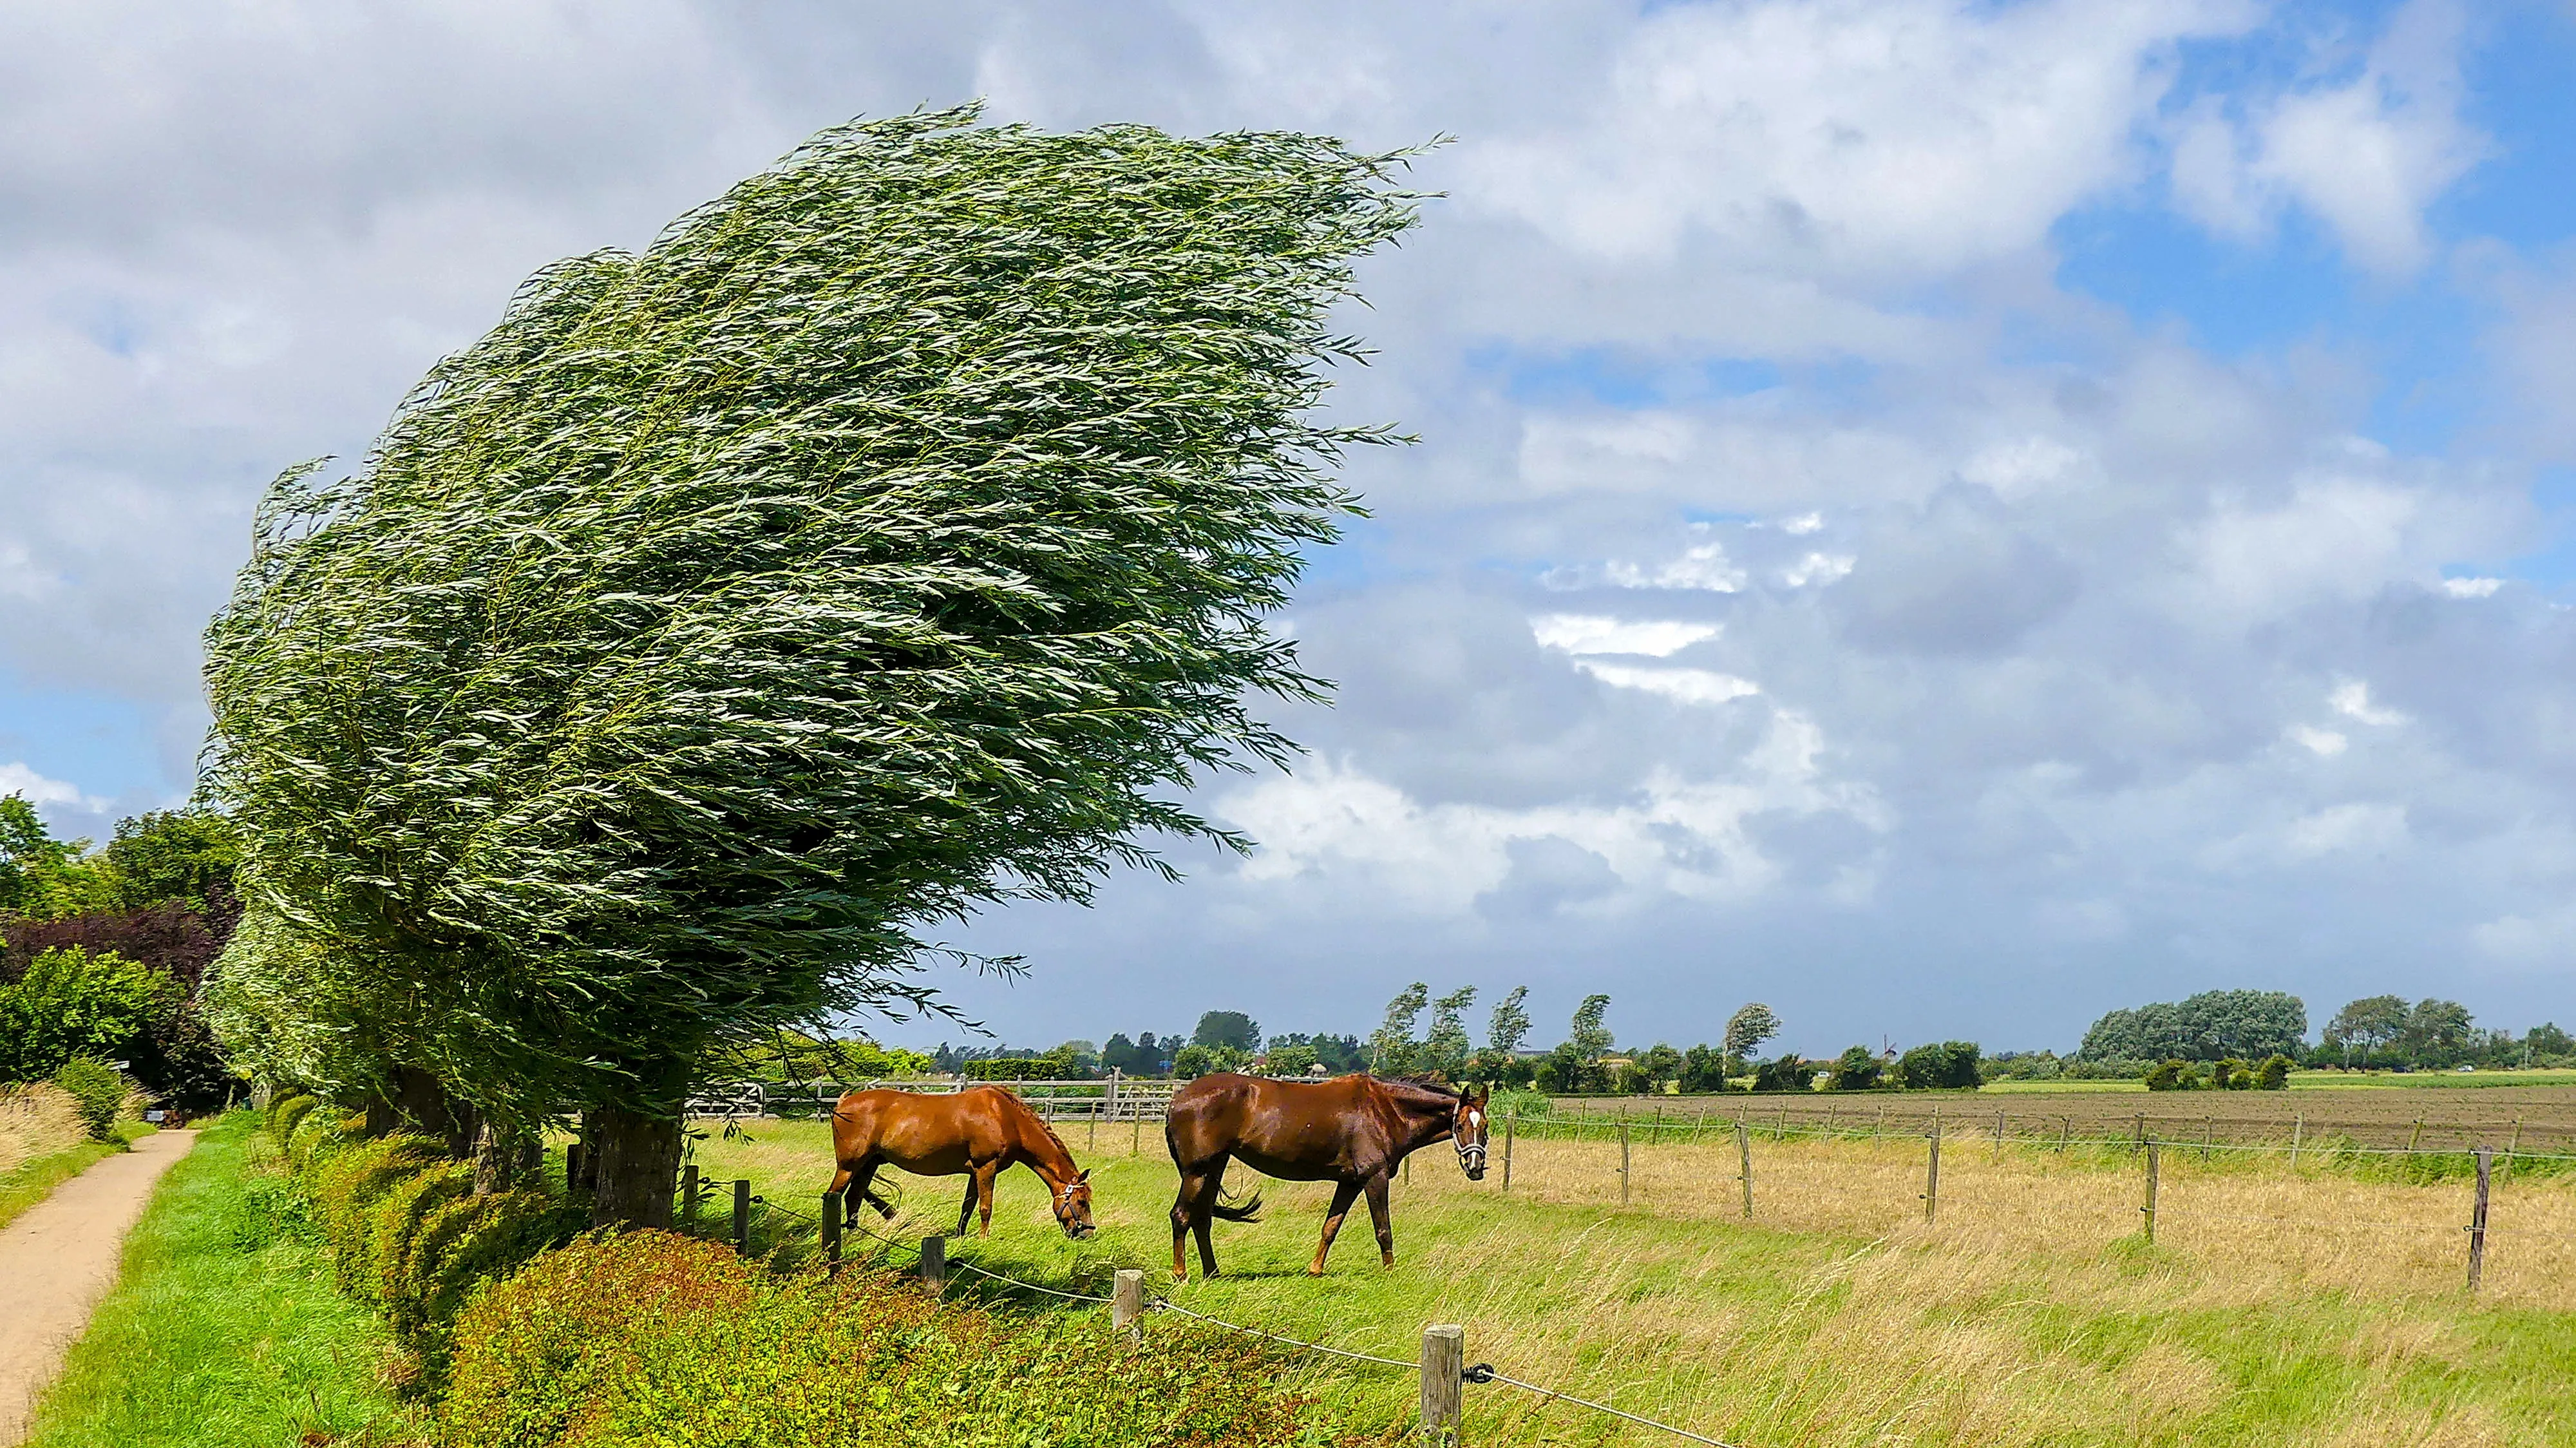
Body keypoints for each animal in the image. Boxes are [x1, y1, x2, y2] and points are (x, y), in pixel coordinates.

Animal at [829, 1082, 1092, 1242]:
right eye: (1081, 1201)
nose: (1087, 1233)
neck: (1005, 1116)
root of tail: (842, 1103)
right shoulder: (986, 1168)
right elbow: (985, 1208)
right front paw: (984, 1240)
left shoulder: (975, 1173)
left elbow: (968, 1206)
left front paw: (960, 1237)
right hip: (849, 1167)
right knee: (835, 1195)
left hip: (869, 1165)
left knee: (854, 1198)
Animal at [1164, 1072, 1494, 1273]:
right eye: (1461, 1125)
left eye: (1486, 1126)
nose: (1476, 1167)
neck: (1384, 1109)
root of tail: (1177, 1100)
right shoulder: (1374, 1178)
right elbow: (1383, 1229)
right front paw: (1390, 1272)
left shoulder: (1349, 1182)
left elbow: (1330, 1227)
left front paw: (1315, 1269)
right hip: (1196, 1172)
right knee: (1181, 1215)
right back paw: (1182, 1274)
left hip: (1214, 1168)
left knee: (1202, 1219)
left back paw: (1213, 1272)